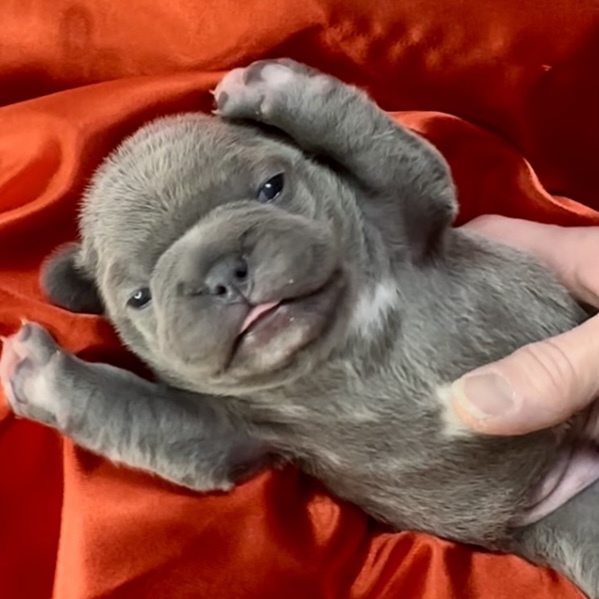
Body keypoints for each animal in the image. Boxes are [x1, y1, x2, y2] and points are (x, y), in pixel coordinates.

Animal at [2, 59, 598, 596]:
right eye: (140, 297)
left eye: (272, 187)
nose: (224, 271)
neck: (343, 346)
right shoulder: (225, 431)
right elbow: (131, 408)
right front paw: (46, 374)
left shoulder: (412, 211)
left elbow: (374, 144)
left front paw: (271, 85)